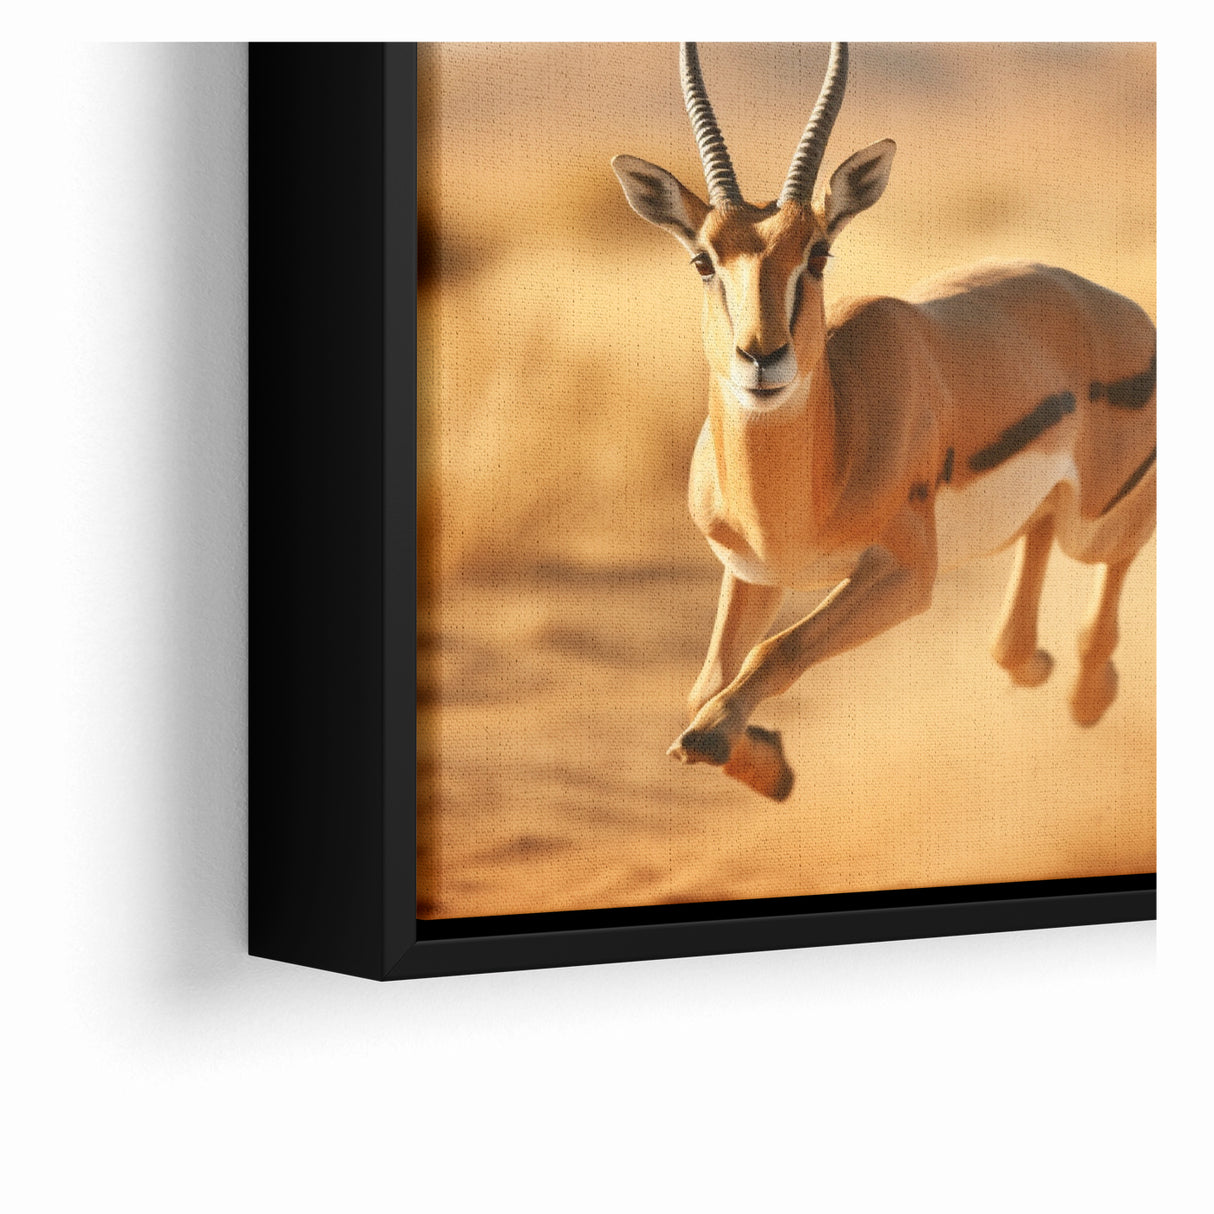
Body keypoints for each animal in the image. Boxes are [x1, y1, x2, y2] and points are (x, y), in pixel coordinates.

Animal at [612, 42, 1156, 802]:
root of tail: (1120, 310)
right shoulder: (754, 574)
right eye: (702, 260)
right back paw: (1035, 667)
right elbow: (707, 683)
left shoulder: (905, 574)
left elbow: (774, 652)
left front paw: (726, 744)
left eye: (816, 252)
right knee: (1035, 549)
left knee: (1116, 548)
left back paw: (1088, 694)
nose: (762, 357)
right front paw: (770, 767)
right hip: (1056, 514)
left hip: (1097, 523)